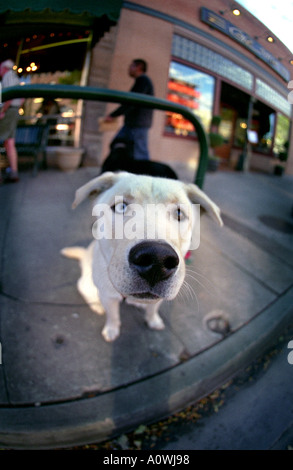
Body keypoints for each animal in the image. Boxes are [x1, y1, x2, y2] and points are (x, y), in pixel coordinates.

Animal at [61, 173, 221, 342]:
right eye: (121, 207)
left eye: (179, 214)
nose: (157, 260)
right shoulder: (108, 296)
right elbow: (113, 316)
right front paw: (111, 329)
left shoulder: (157, 299)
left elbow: (152, 310)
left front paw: (153, 320)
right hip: (87, 285)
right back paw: (98, 306)